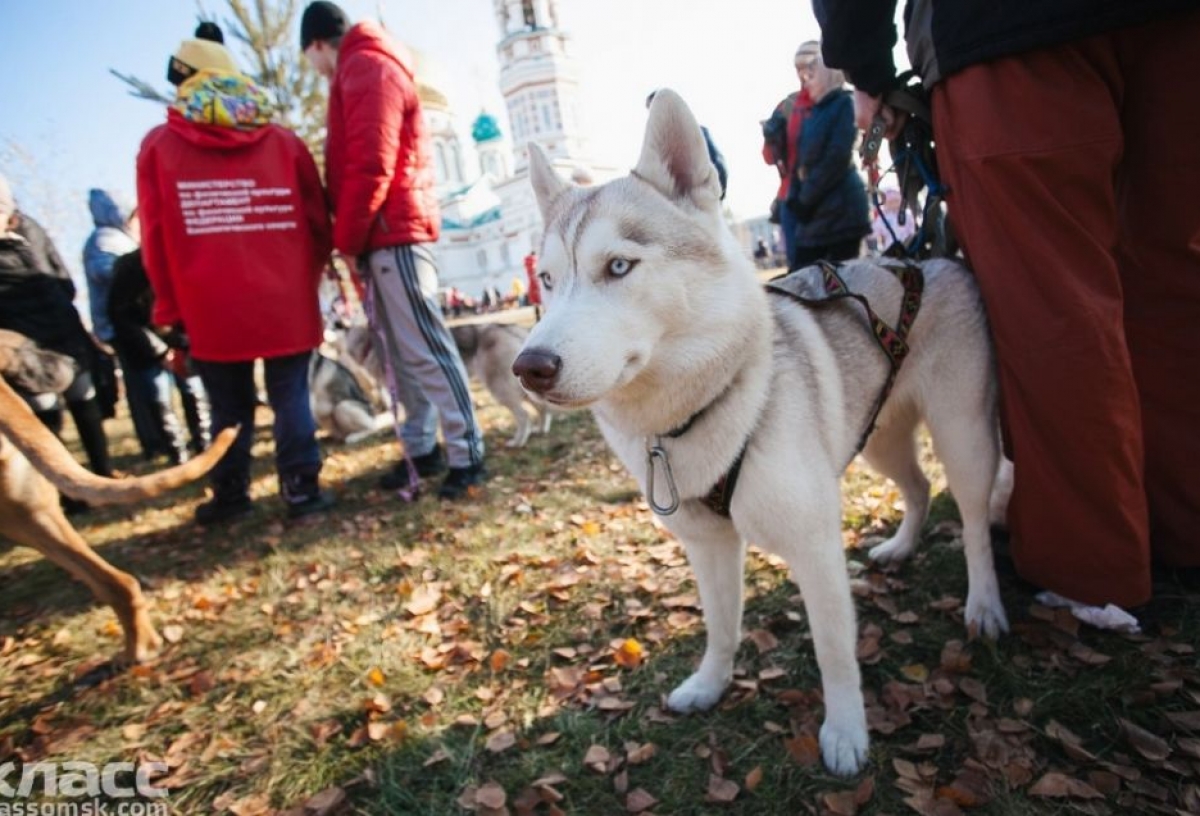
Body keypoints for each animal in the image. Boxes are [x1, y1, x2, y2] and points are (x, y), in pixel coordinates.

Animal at [511, 90, 1008, 777]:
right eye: (548, 280)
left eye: (618, 266)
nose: (529, 366)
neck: (697, 413)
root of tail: (930, 255)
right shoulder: (708, 545)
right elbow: (721, 627)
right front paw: (710, 685)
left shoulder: (816, 547)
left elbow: (834, 652)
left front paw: (846, 733)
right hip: (878, 440)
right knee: (917, 487)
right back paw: (902, 545)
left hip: (963, 438)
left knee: (973, 521)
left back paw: (984, 604)